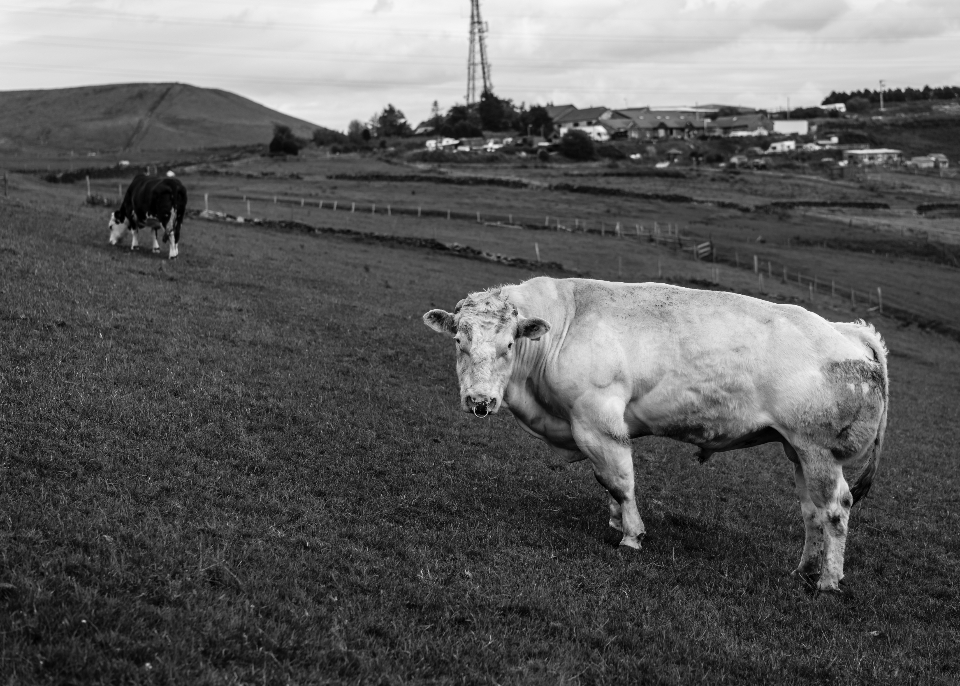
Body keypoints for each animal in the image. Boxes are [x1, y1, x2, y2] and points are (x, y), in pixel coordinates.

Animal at [423, 277, 889, 593]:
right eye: (460, 341)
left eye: (508, 345)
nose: (480, 401)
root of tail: (849, 331)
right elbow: (606, 481)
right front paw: (615, 520)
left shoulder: (598, 419)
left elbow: (619, 479)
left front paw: (631, 535)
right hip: (799, 451)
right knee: (812, 512)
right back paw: (804, 569)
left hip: (819, 449)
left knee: (835, 509)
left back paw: (828, 580)